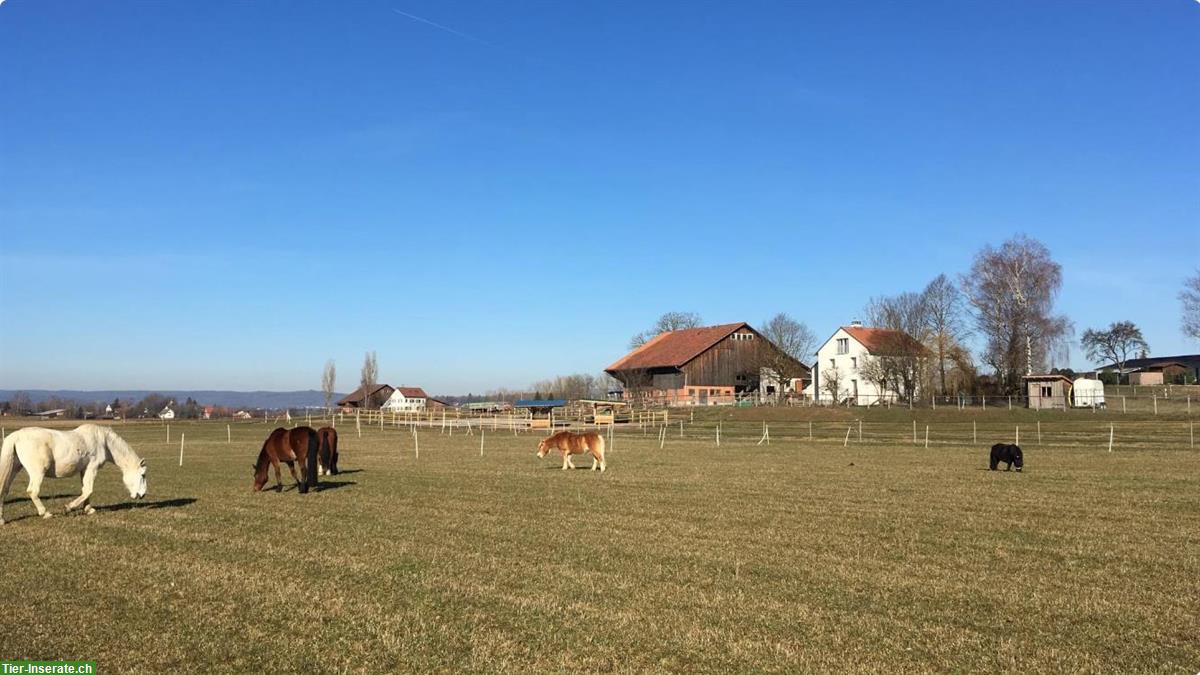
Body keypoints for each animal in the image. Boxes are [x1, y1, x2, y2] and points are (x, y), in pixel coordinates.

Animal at [0, 422, 148, 523]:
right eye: (143, 475)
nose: (142, 495)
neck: (104, 442)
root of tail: (16, 436)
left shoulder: (84, 470)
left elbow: (85, 490)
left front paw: (88, 509)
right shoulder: (92, 468)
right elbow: (88, 490)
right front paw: (68, 507)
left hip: (14, 469)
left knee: (4, 490)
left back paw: (2, 520)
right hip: (37, 473)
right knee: (32, 491)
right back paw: (46, 513)